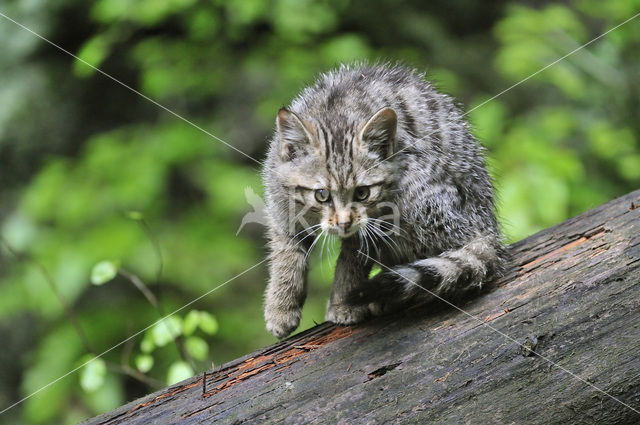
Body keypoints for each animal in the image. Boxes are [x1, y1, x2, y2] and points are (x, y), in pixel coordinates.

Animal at [262, 62, 504, 338]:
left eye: (362, 193)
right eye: (321, 195)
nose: (344, 223)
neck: (334, 114)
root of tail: (487, 227)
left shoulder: (376, 221)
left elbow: (353, 260)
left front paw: (343, 303)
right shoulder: (281, 206)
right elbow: (286, 255)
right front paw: (280, 307)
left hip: (422, 196)